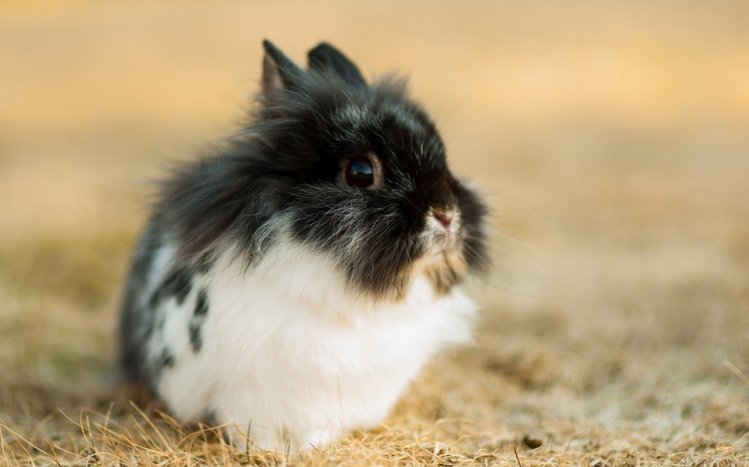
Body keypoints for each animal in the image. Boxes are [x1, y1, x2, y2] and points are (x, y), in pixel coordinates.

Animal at [119, 39, 488, 450]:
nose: (447, 214)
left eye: (444, 157)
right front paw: (267, 451)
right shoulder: (242, 392)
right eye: (360, 172)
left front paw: (313, 447)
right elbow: (250, 427)